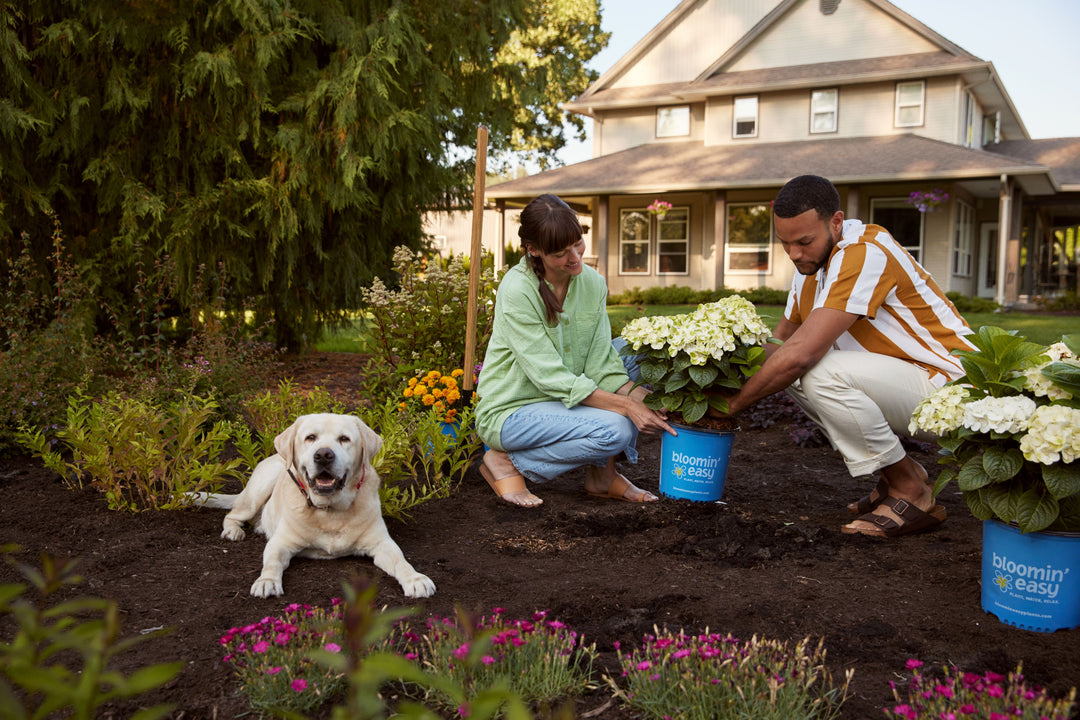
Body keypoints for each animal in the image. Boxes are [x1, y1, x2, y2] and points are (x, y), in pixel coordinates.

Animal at [200, 414, 436, 600]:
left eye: (344, 439)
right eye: (310, 438)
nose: (323, 455)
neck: (330, 510)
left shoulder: (382, 544)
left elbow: (401, 561)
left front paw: (415, 579)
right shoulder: (280, 543)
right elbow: (272, 563)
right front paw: (266, 581)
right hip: (261, 486)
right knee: (233, 514)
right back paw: (233, 531)